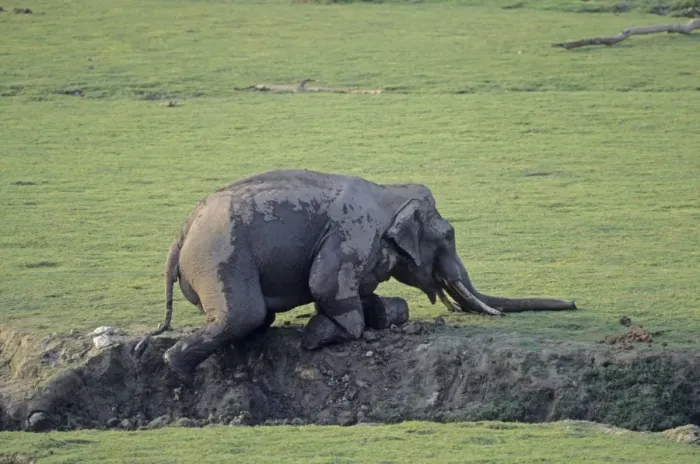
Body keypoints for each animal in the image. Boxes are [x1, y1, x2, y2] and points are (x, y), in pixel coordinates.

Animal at [133, 169, 576, 386]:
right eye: (449, 236)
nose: (573, 303)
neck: (388, 193)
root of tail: (179, 238)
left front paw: (384, 312)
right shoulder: (353, 233)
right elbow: (325, 286)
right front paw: (318, 337)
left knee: (255, 318)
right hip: (219, 258)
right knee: (244, 314)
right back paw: (181, 374)